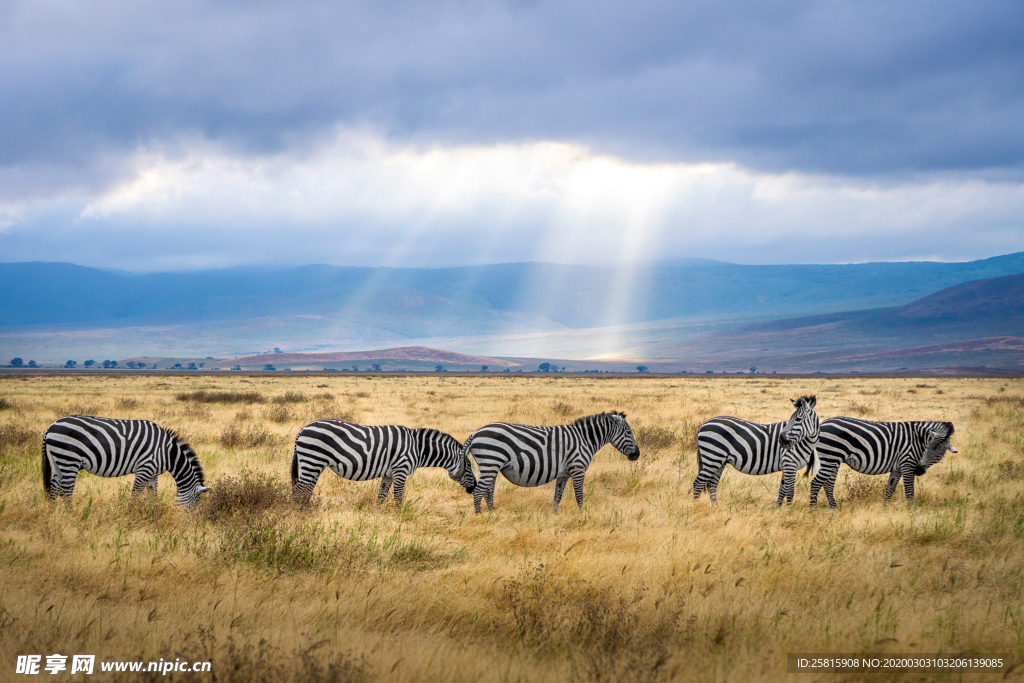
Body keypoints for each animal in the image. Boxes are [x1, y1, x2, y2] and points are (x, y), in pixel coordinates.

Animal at [43, 413, 210, 509]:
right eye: (195, 503)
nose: (190, 522)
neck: (168, 453)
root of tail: (51, 426)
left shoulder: (153, 473)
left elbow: (152, 493)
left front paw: (153, 511)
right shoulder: (145, 468)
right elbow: (135, 494)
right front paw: (131, 514)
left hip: (59, 461)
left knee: (54, 488)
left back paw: (52, 516)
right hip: (69, 459)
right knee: (66, 492)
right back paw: (71, 516)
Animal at [290, 419, 477, 509]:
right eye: (469, 467)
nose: (474, 487)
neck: (418, 449)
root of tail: (303, 429)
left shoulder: (388, 474)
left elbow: (381, 496)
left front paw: (377, 515)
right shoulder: (401, 470)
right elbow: (398, 496)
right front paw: (399, 517)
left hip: (314, 464)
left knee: (306, 489)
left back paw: (306, 510)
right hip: (313, 460)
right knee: (298, 490)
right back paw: (297, 513)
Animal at [464, 411, 638, 511]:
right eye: (629, 433)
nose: (637, 454)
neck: (585, 439)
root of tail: (476, 433)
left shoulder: (563, 474)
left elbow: (557, 495)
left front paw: (555, 515)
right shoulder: (578, 468)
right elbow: (579, 495)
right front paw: (582, 514)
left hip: (491, 466)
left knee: (488, 490)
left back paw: (493, 512)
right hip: (491, 462)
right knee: (478, 491)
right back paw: (480, 517)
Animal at [811, 417, 954, 507]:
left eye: (938, 454)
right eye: (926, 448)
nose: (918, 470)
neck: (918, 439)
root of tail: (822, 424)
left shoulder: (898, 468)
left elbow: (890, 489)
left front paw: (885, 509)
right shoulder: (907, 463)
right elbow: (909, 492)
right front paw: (913, 513)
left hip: (833, 460)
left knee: (828, 484)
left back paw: (833, 509)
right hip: (830, 458)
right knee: (816, 483)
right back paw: (813, 510)